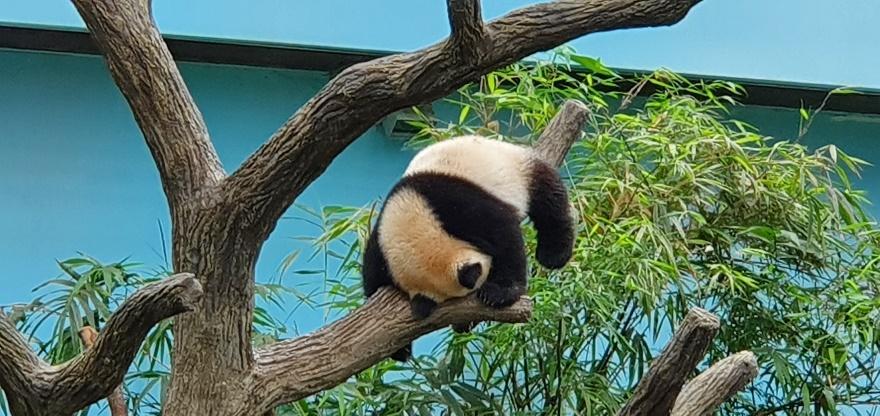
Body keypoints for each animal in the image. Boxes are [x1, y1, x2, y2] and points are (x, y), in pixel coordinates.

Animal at [362, 134, 575, 361]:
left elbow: (502, 233)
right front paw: (400, 348)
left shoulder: (452, 204)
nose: (464, 324)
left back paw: (553, 255)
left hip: (518, 170)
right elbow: (372, 283)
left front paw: (499, 293)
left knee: (549, 201)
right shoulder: (381, 243)